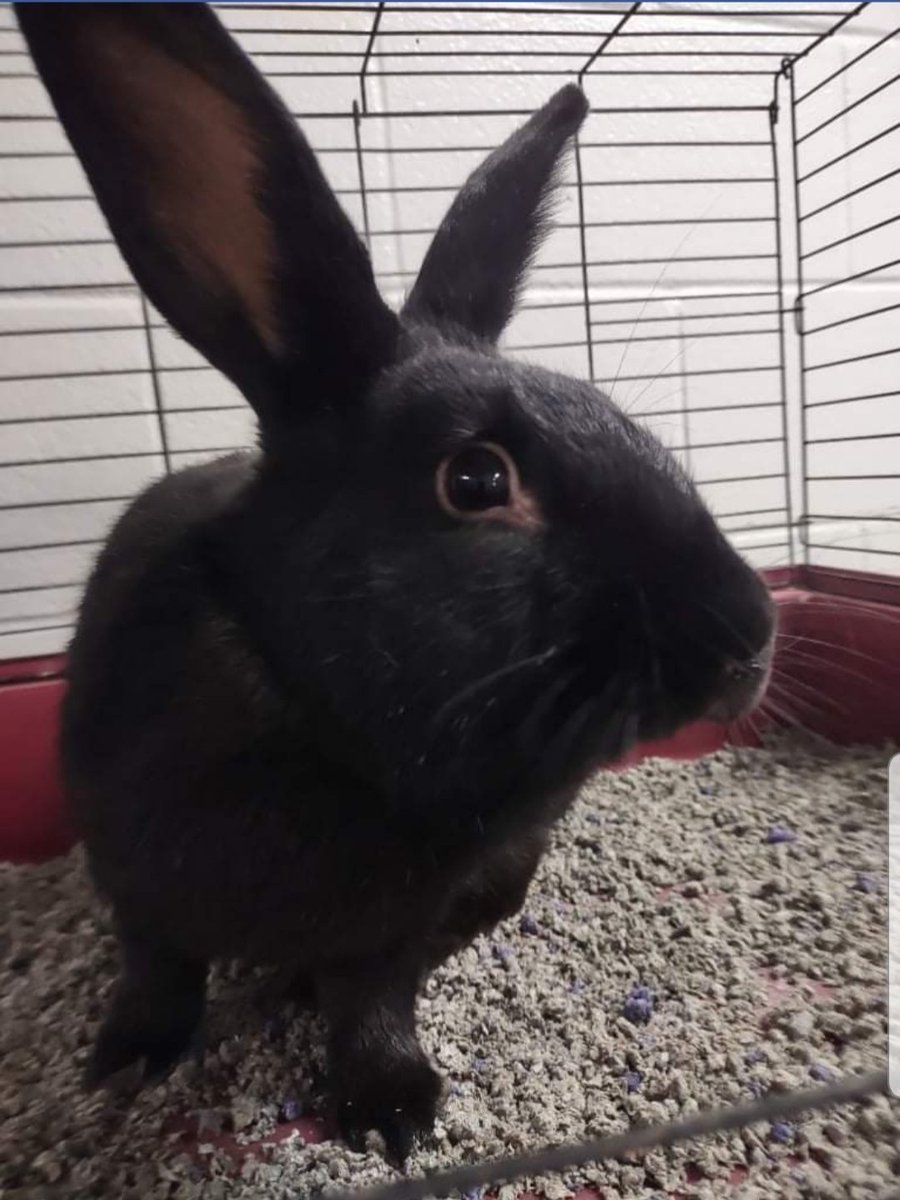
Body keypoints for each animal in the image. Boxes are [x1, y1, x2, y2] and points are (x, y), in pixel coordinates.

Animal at [16, 2, 775, 1164]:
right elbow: (157, 968)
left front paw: (393, 1109)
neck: (319, 717)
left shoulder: (392, 930)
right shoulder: (127, 871)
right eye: (476, 479)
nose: (753, 635)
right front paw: (126, 1063)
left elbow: (371, 1001)